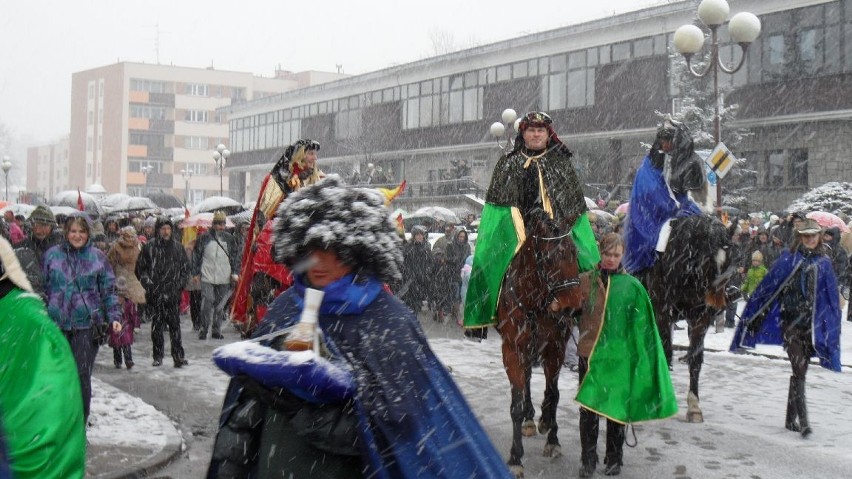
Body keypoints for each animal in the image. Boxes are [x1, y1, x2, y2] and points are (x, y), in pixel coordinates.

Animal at [492, 215, 584, 479]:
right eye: (549, 258)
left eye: (574, 253)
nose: (573, 306)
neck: (533, 301)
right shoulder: (512, 350)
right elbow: (516, 404)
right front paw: (515, 458)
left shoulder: (556, 349)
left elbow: (553, 395)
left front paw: (552, 436)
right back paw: (530, 419)